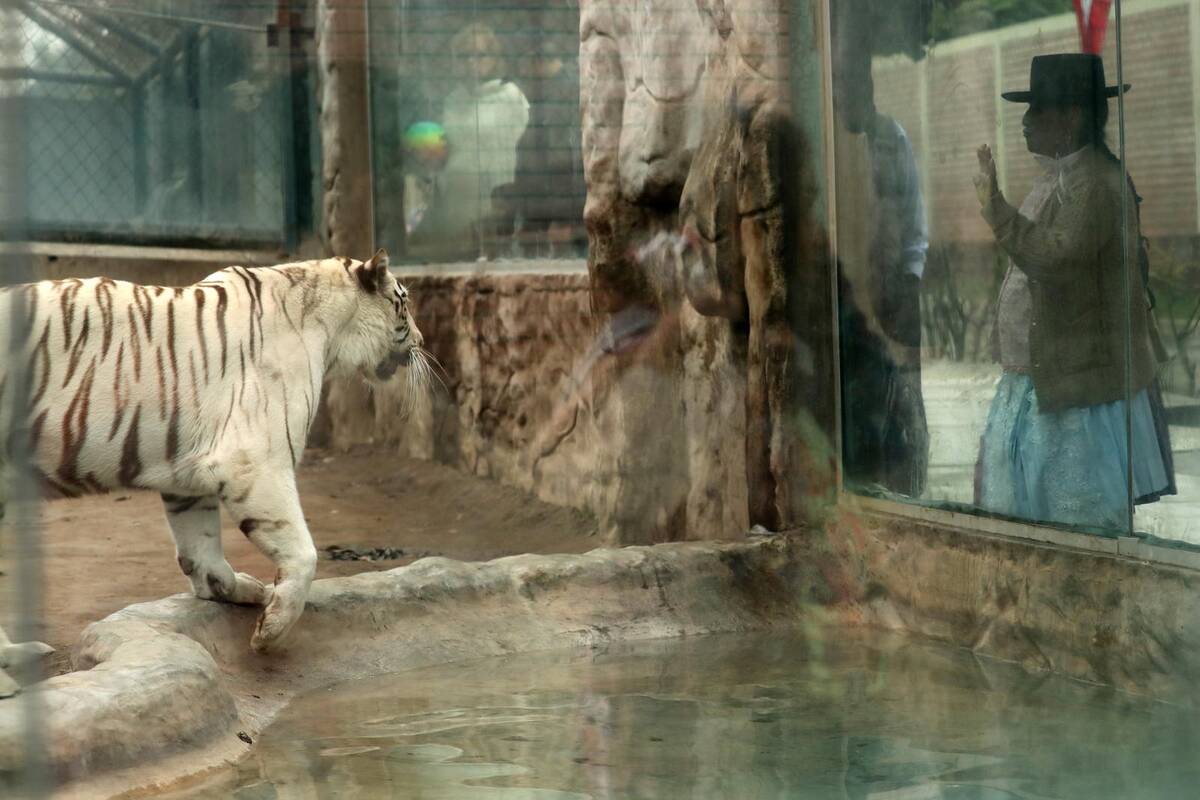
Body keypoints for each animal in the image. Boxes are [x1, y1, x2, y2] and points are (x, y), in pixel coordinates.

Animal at [0, 250, 425, 694]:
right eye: (404, 303)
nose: (422, 342)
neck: (326, 330)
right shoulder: (256, 461)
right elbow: (303, 553)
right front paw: (270, 632)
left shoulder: (187, 474)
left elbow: (201, 546)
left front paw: (236, 589)